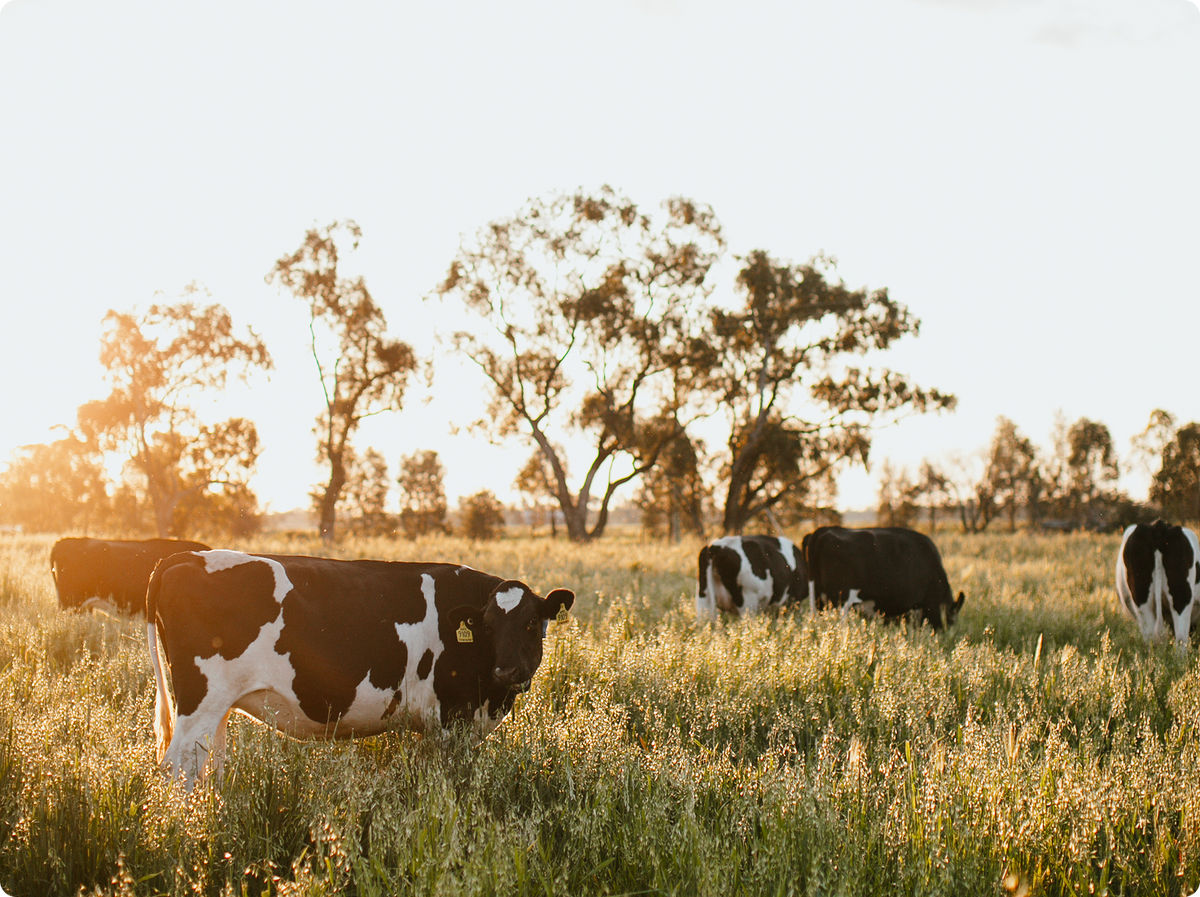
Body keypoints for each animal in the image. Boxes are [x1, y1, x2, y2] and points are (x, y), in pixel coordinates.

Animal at [147, 550, 575, 788]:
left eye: (530, 623)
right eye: (487, 626)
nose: (507, 671)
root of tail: (180, 558)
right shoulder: (451, 721)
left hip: (217, 708)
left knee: (206, 766)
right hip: (199, 701)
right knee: (176, 768)